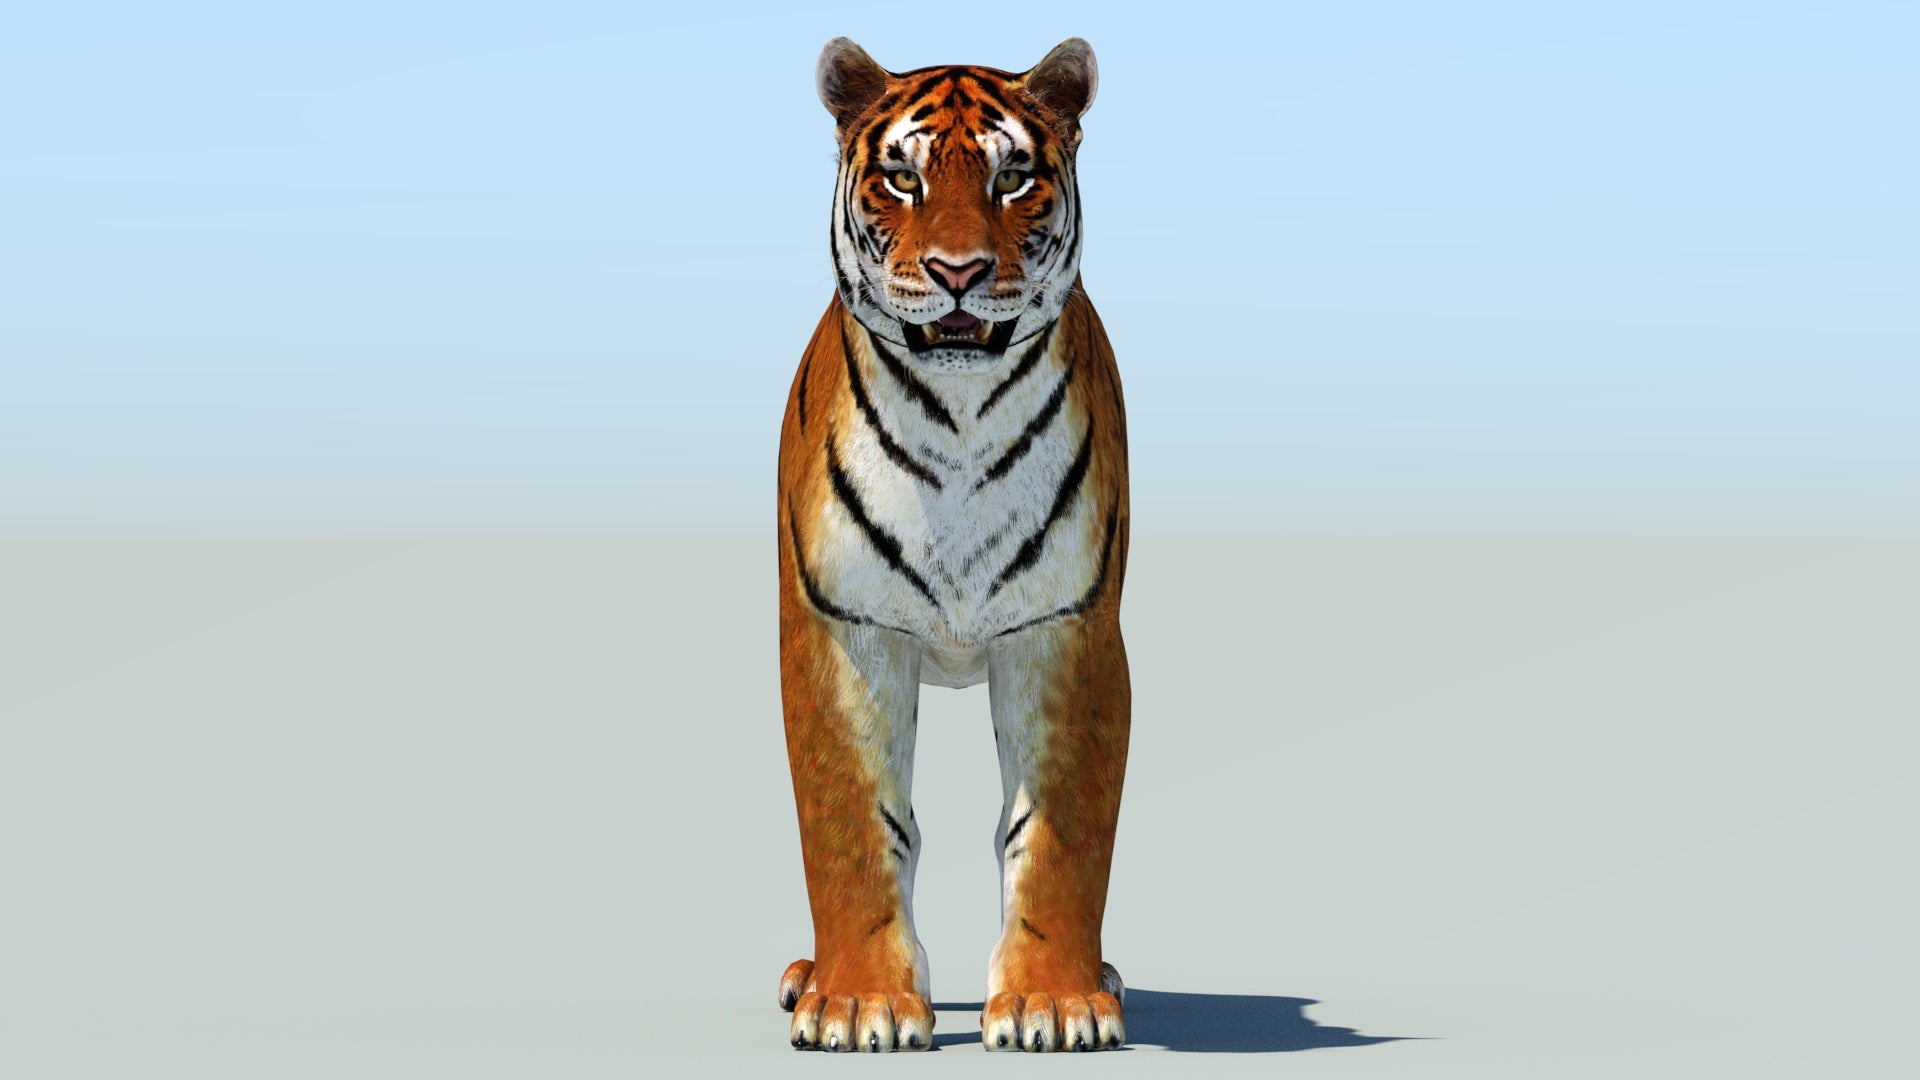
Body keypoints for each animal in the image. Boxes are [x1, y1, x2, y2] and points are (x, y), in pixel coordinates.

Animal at [775, 37, 1130, 1054]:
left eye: (1013, 178)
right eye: (904, 175)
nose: (959, 272)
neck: (958, 419)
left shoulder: (1067, 631)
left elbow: (1057, 834)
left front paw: (1055, 1000)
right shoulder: (843, 629)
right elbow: (854, 826)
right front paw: (858, 1003)